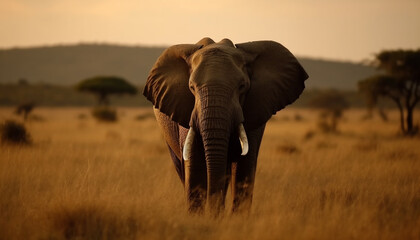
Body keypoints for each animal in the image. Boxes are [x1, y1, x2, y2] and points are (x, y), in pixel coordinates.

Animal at [144, 37, 308, 216]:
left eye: (242, 86)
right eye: (191, 87)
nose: (214, 214)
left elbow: (244, 167)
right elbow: (195, 167)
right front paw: (199, 219)